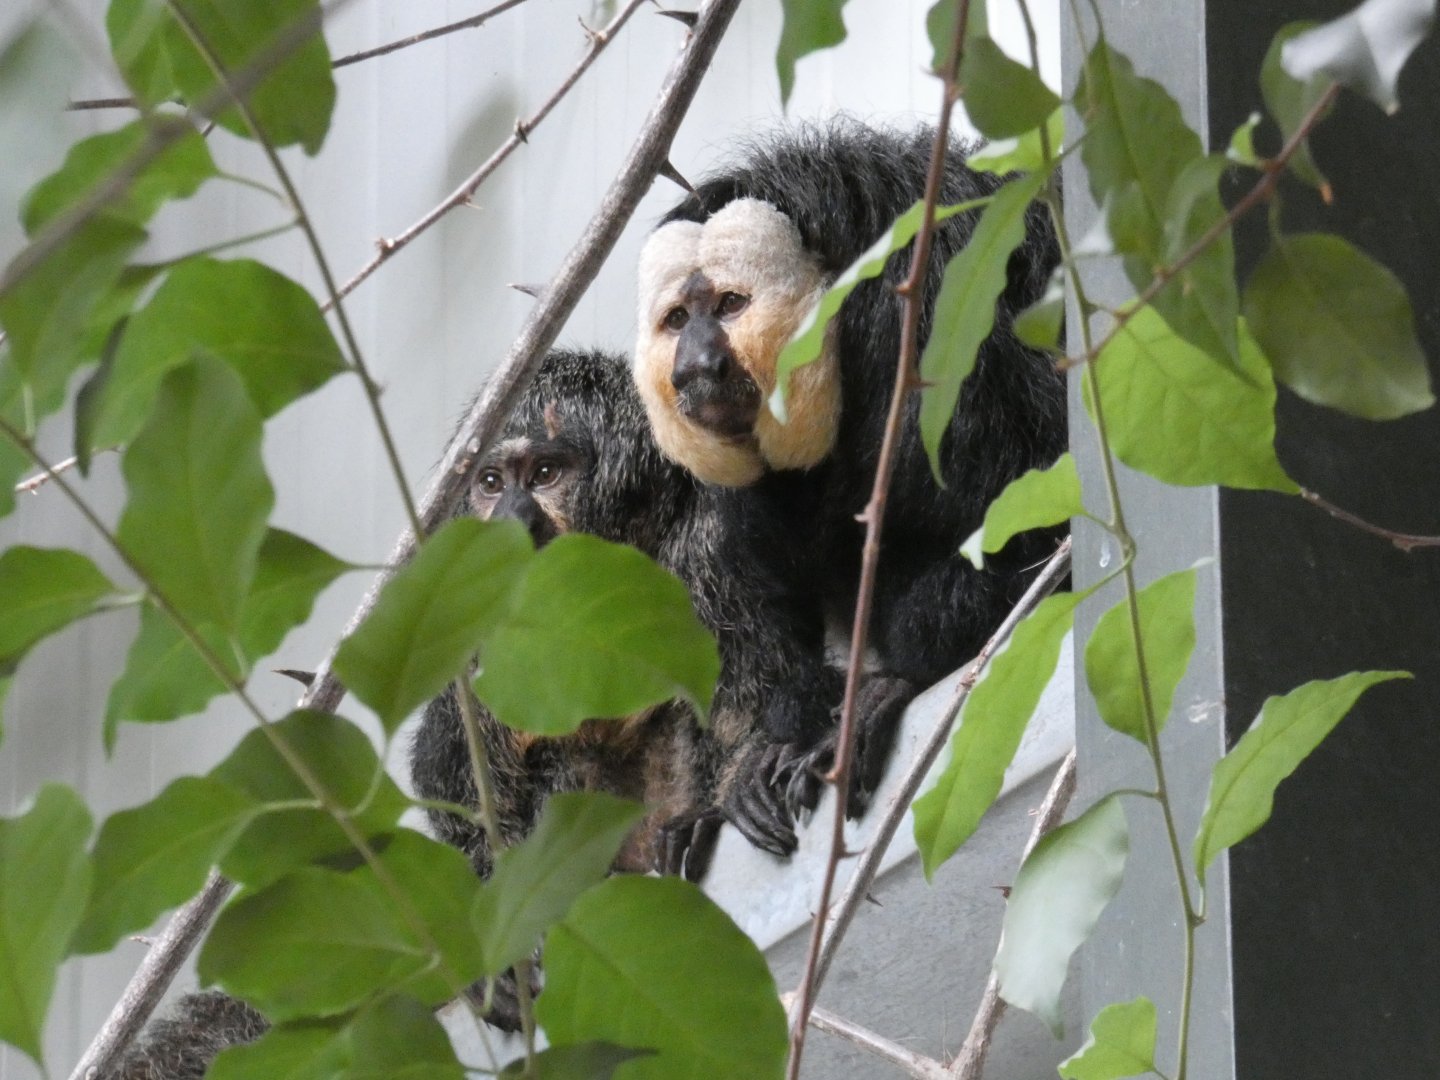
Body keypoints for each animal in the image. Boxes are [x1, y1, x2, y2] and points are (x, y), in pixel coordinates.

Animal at [633, 121, 1067, 813]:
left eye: (729, 305)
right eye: (677, 320)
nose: (697, 366)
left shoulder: (938, 333)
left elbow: (1036, 514)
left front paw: (891, 679)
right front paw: (780, 724)